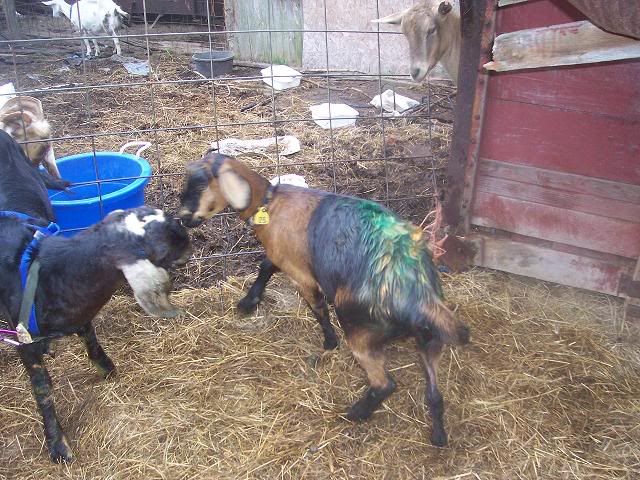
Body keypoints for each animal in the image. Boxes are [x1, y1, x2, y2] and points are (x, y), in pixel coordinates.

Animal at [0, 131, 191, 463]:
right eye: (163, 248)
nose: (190, 239)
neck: (52, 270)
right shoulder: (24, 338)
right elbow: (42, 389)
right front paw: (58, 445)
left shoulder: (81, 310)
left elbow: (90, 337)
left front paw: (107, 369)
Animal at [178, 152, 470, 447]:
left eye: (200, 185)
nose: (182, 219)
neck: (270, 204)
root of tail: (417, 293)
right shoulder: (283, 257)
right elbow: (266, 266)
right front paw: (248, 302)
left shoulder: (301, 274)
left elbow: (317, 307)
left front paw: (329, 342)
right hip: (429, 339)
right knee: (434, 393)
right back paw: (438, 435)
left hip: (360, 329)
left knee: (384, 383)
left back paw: (355, 413)